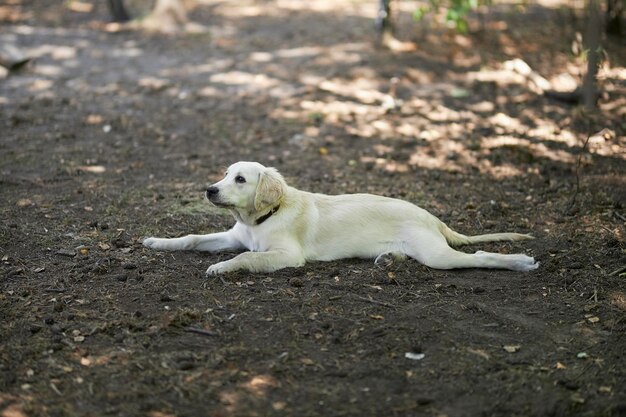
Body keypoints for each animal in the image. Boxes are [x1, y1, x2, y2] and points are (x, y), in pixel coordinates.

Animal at [141, 161, 536, 274]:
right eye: (224, 175)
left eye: (240, 180)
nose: (210, 190)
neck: (263, 217)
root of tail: (430, 215)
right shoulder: (235, 235)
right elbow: (192, 238)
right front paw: (156, 241)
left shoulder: (287, 255)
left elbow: (245, 258)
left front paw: (222, 267)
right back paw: (388, 258)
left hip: (437, 254)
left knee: (480, 256)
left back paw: (520, 262)